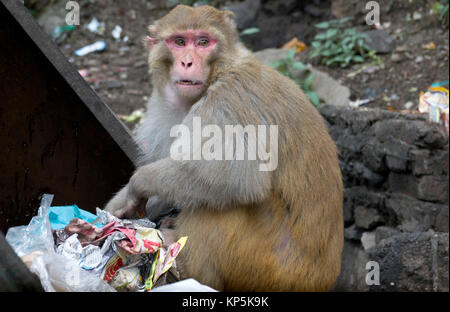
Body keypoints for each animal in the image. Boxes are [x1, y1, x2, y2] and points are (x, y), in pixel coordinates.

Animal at [104, 4, 344, 292]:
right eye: (180, 42)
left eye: (203, 42)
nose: (187, 62)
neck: (219, 71)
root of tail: (324, 279)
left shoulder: (228, 99)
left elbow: (237, 176)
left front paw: (137, 184)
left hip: (268, 269)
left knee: (226, 197)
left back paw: (184, 261)